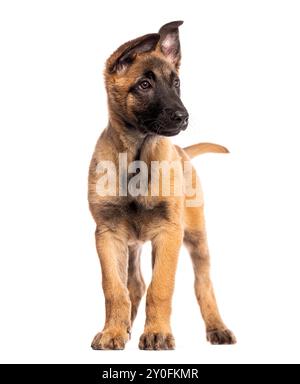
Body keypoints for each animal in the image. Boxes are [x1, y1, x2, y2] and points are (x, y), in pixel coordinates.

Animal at [88, 21, 236, 352]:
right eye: (144, 85)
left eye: (176, 83)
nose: (183, 117)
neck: (137, 158)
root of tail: (183, 152)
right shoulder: (107, 235)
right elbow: (114, 288)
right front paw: (112, 332)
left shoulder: (169, 233)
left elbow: (161, 287)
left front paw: (156, 333)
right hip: (132, 244)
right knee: (134, 284)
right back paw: (125, 327)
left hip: (196, 237)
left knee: (203, 284)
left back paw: (218, 328)